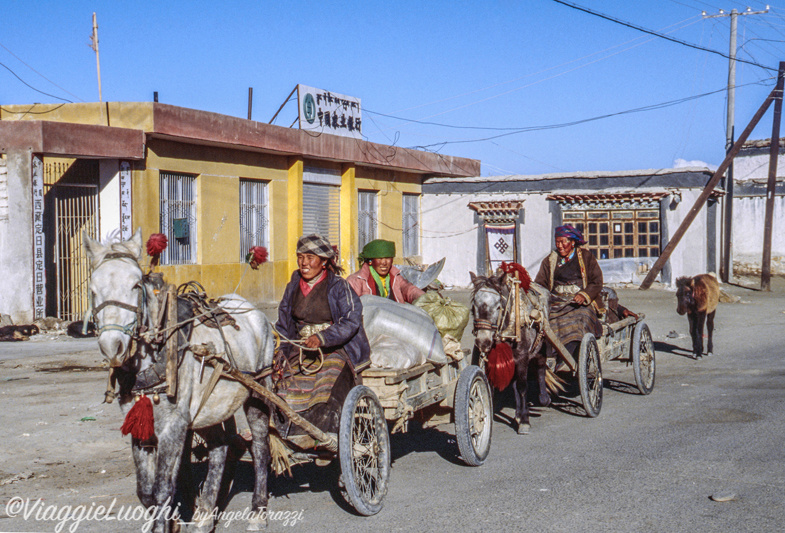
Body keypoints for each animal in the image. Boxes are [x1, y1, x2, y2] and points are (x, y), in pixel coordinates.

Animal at [85, 230, 276, 532]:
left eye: (136, 285)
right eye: (93, 289)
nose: (112, 346)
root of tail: (252, 309)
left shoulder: (174, 425)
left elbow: (163, 488)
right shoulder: (142, 424)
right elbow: (146, 492)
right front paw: (171, 521)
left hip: (258, 391)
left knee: (259, 446)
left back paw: (258, 511)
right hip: (208, 405)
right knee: (220, 447)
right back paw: (205, 514)